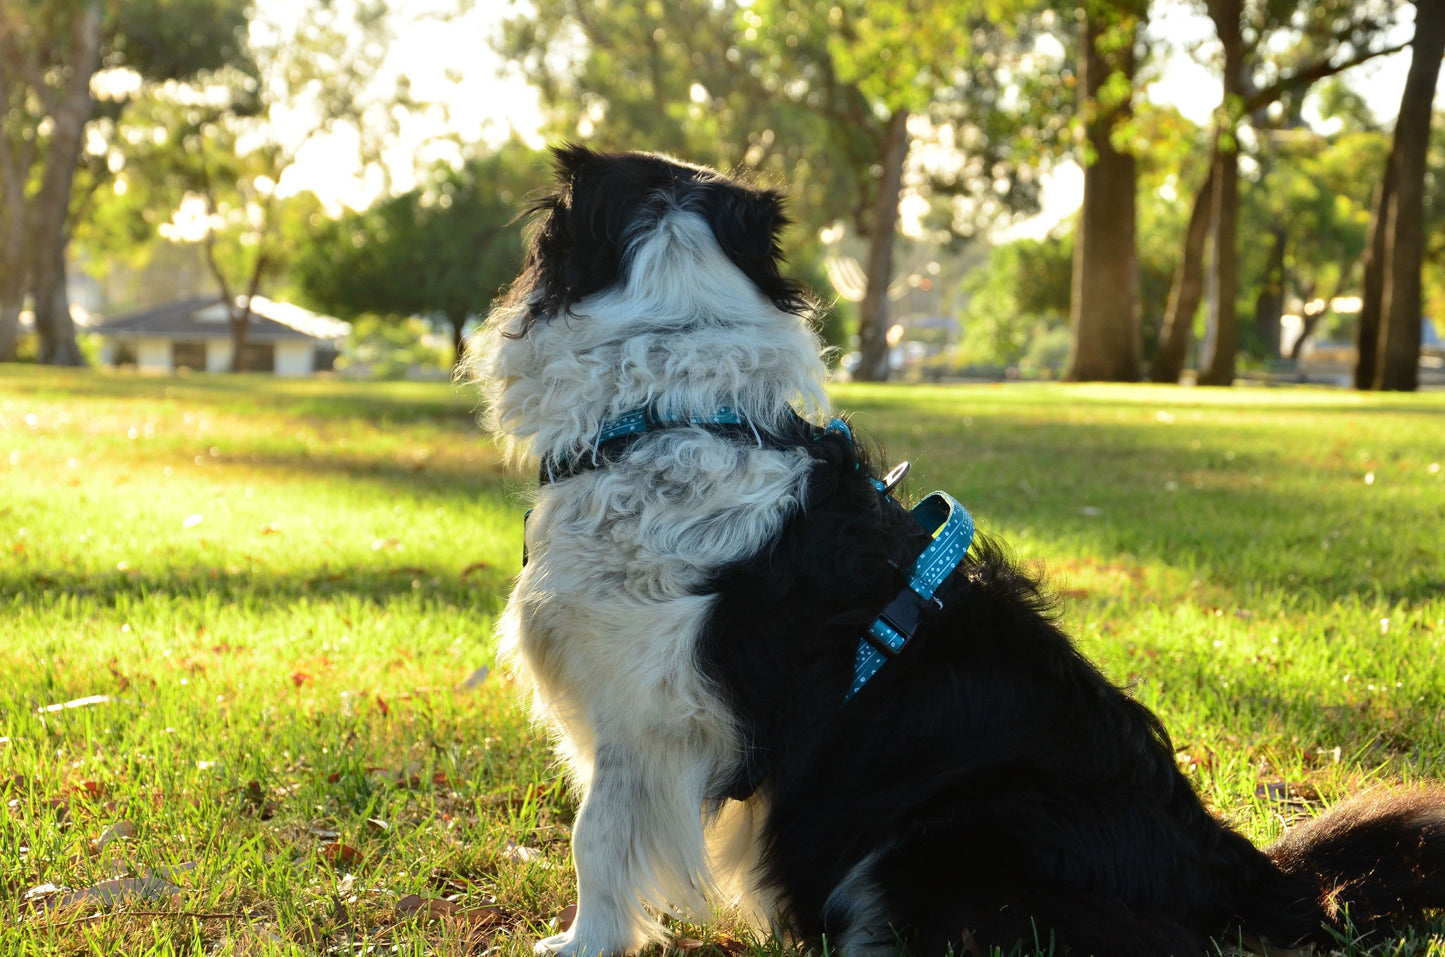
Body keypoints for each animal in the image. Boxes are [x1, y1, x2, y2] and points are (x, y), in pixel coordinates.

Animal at [473, 144, 1445, 957]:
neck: (668, 405)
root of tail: (1246, 877)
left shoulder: (643, 719)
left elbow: (596, 841)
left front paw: (580, 945)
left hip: (941, 837)